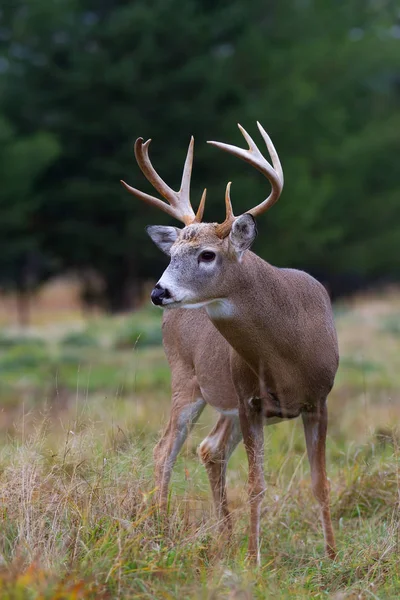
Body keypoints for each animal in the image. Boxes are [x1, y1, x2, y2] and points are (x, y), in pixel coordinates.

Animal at [121, 122, 338, 564]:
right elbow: (256, 485)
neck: (288, 355)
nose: (158, 291)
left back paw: (225, 536)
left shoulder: (318, 399)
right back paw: (160, 532)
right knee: (166, 450)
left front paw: (331, 556)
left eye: (207, 254)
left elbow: (319, 483)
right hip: (187, 379)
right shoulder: (249, 400)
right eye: (172, 253)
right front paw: (254, 560)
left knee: (209, 448)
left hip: (226, 405)